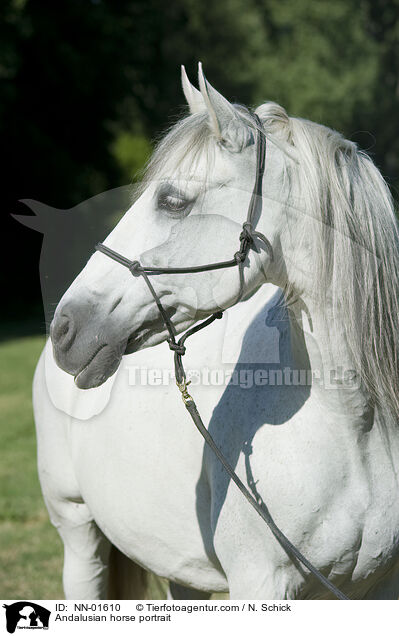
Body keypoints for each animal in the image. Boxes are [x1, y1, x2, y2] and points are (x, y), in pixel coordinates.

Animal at [32, 66, 399, 600]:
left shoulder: (380, 584)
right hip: (78, 532)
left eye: (172, 201)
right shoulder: (261, 582)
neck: (355, 425)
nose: (66, 327)